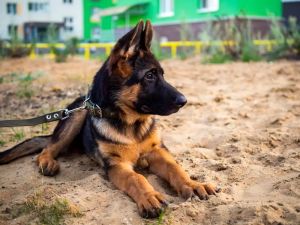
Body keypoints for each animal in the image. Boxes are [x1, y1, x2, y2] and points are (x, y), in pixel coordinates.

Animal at [0, 19, 216, 218]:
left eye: (162, 75)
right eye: (149, 76)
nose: (184, 101)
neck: (131, 124)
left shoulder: (158, 152)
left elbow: (175, 168)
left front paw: (192, 184)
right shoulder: (116, 164)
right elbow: (136, 178)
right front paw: (149, 197)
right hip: (76, 115)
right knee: (48, 147)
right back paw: (48, 162)